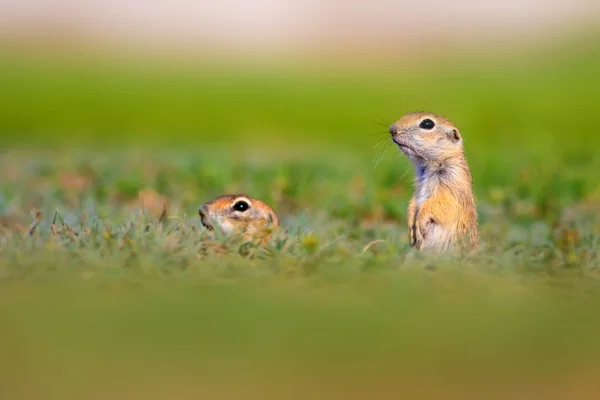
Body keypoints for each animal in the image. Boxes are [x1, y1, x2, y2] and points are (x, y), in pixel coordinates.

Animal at [390, 111, 478, 253]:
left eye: (427, 124)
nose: (391, 129)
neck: (429, 166)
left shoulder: (453, 182)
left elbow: (441, 204)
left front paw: (419, 222)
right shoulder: (419, 187)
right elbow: (413, 202)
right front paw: (411, 227)